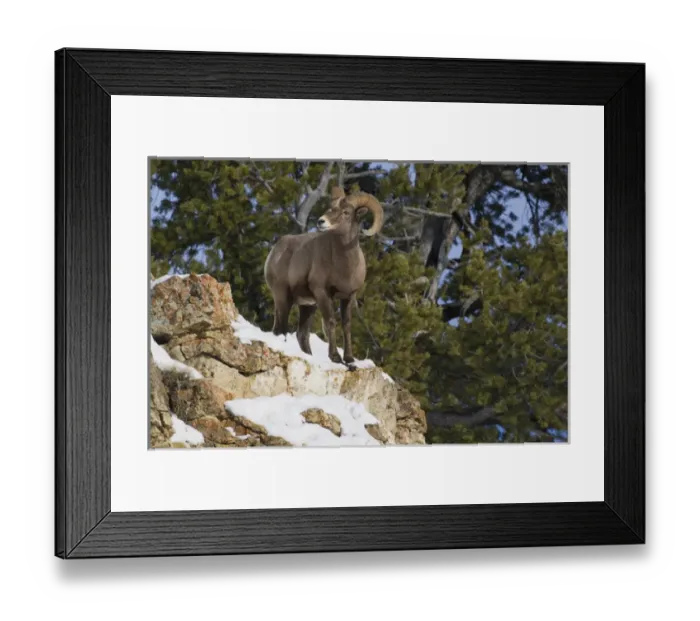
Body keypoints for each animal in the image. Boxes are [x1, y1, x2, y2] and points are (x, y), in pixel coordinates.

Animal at [264, 186, 384, 366]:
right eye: (330, 208)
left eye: (346, 212)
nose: (321, 221)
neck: (344, 268)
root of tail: (275, 251)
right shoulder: (323, 293)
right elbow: (331, 322)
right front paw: (335, 357)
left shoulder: (348, 296)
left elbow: (346, 325)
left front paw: (349, 359)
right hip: (283, 297)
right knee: (281, 329)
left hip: (308, 306)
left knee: (302, 334)